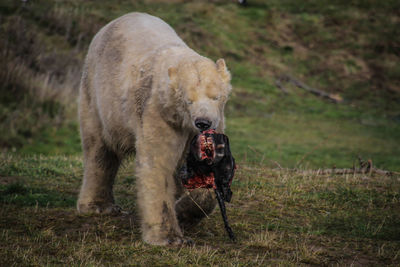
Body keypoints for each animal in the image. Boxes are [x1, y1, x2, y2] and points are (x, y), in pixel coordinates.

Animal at [77, 13, 231, 247]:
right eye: (188, 100)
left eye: (216, 96)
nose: (203, 123)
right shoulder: (159, 114)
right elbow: (157, 164)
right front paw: (169, 237)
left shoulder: (209, 127)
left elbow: (208, 172)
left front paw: (183, 213)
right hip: (98, 96)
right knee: (99, 148)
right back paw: (98, 205)